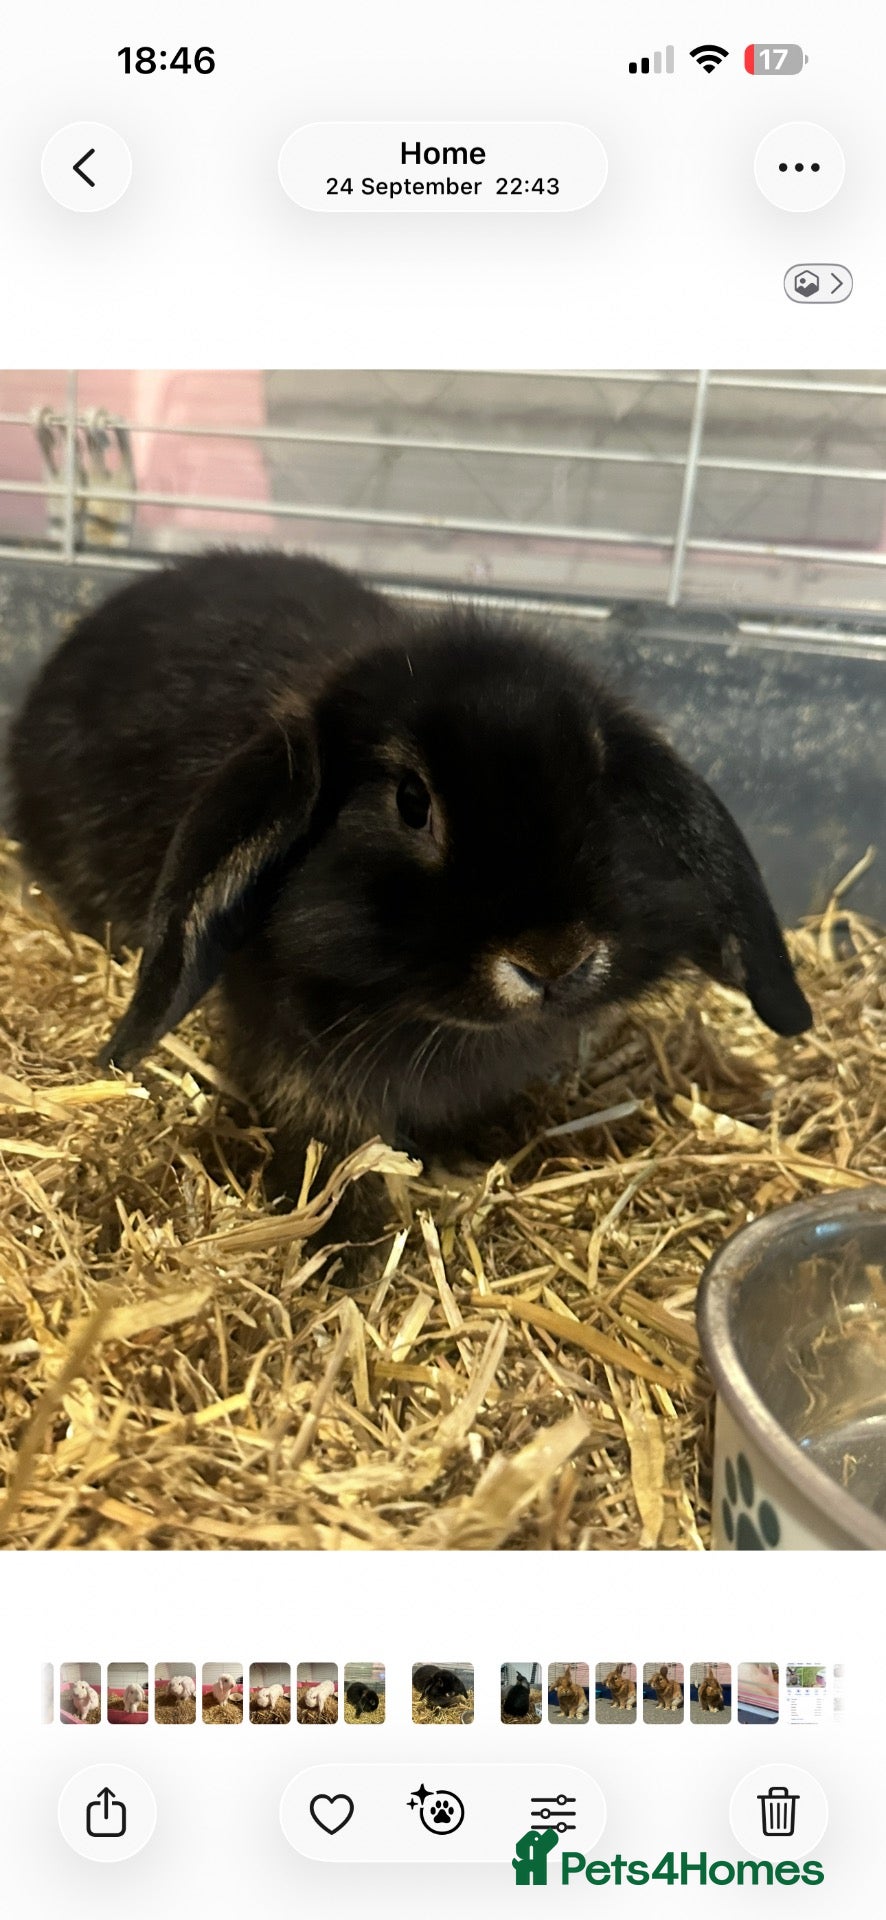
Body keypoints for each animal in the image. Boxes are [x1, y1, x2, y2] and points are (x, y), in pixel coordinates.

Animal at [8, 552, 812, 1255]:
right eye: (411, 802)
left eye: (599, 787)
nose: (553, 961)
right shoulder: (304, 1066)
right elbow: (335, 1151)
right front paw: (343, 1245)